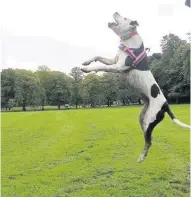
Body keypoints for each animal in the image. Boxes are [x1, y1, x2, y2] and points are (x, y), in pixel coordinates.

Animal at [81, 12, 191, 163]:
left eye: (124, 18)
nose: (116, 11)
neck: (129, 41)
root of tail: (166, 105)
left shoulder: (118, 66)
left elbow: (101, 66)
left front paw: (87, 69)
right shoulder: (113, 60)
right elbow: (98, 57)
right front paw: (87, 62)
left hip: (150, 121)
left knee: (149, 140)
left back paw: (141, 157)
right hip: (142, 118)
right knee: (149, 139)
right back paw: (143, 155)